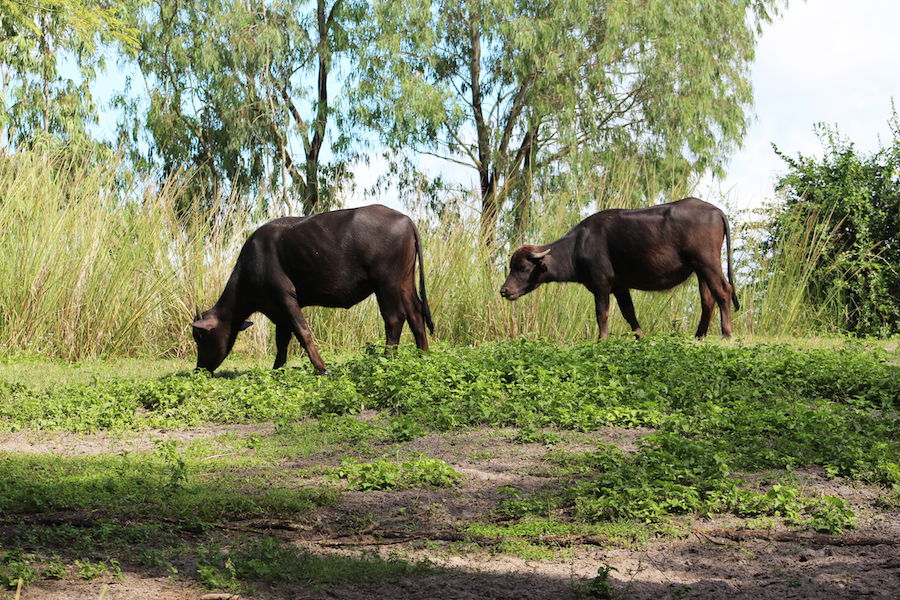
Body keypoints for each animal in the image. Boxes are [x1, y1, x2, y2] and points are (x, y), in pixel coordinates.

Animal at [193, 206, 436, 376]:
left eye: (200, 336)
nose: (198, 369)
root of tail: (405, 219)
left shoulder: (285, 298)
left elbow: (303, 333)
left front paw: (322, 368)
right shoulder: (279, 310)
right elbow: (282, 341)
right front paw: (277, 370)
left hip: (386, 282)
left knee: (395, 317)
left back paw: (386, 360)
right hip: (405, 280)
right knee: (416, 314)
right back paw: (424, 356)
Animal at [500, 197, 740, 338]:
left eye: (522, 267)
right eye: (511, 266)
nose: (504, 290)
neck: (578, 246)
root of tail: (716, 210)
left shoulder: (601, 284)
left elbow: (602, 314)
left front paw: (602, 339)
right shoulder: (619, 287)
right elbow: (629, 313)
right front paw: (640, 337)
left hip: (708, 262)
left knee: (723, 291)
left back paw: (727, 333)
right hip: (700, 269)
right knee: (707, 299)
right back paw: (699, 335)